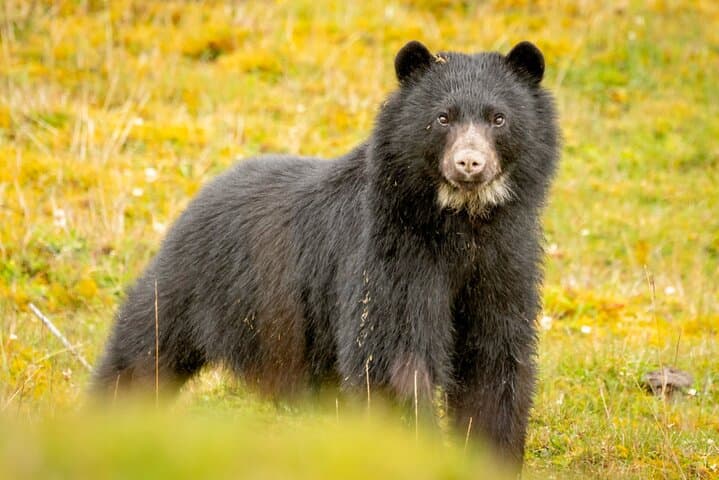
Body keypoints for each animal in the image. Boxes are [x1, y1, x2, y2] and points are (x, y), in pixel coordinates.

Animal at [92, 40, 559, 466]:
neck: (460, 224)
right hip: (193, 286)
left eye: (498, 118)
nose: (469, 164)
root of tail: (205, 191)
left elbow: (493, 362)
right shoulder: (390, 255)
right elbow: (393, 359)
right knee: (141, 353)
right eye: (442, 118)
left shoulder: (504, 260)